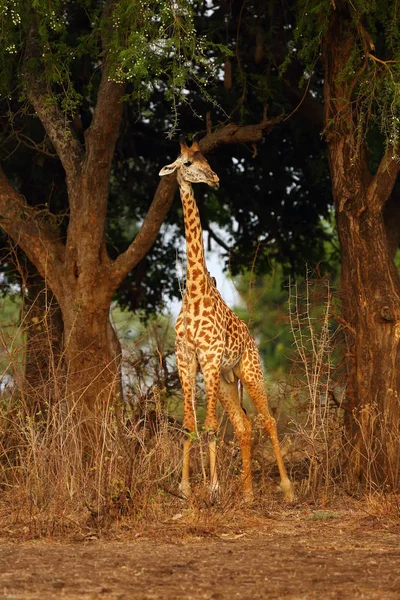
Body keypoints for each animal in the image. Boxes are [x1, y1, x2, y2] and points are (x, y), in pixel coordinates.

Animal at [159, 138, 294, 504]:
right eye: (188, 163)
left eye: (206, 159)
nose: (215, 178)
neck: (194, 291)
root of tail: (250, 337)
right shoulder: (186, 359)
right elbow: (190, 426)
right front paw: (186, 488)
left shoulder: (208, 357)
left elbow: (208, 429)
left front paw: (213, 488)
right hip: (226, 380)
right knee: (243, 426)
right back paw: (247, 493)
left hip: (249, 370)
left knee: (268, 421)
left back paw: (287, 490)